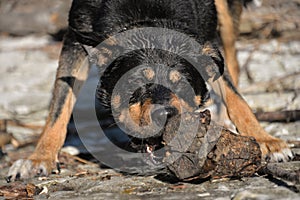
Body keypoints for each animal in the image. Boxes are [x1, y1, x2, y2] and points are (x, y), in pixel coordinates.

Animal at [6, 0, 292, 181]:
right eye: (136, 83)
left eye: (182, 84)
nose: (164, 115)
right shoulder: (76, 37)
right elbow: (59, 102)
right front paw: (39, 158)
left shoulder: (206, 40)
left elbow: (234, 94)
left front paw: (265, 140)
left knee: (231, 61)